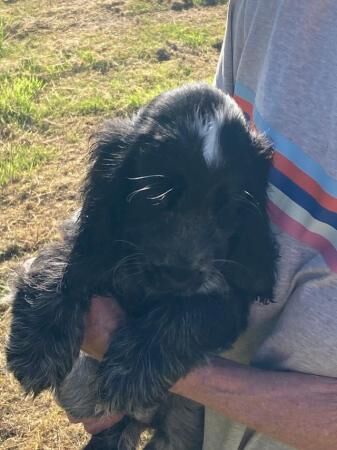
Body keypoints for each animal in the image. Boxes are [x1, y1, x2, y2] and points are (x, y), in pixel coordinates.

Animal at [7, 84, 276, 450]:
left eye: (228, 209)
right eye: (156, 199)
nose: (180, 276)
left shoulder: (226, 297)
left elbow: (185, 314)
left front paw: (130, 371)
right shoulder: (86, 239)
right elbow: (60, 261)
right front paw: (37, 349)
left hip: (181, 426)